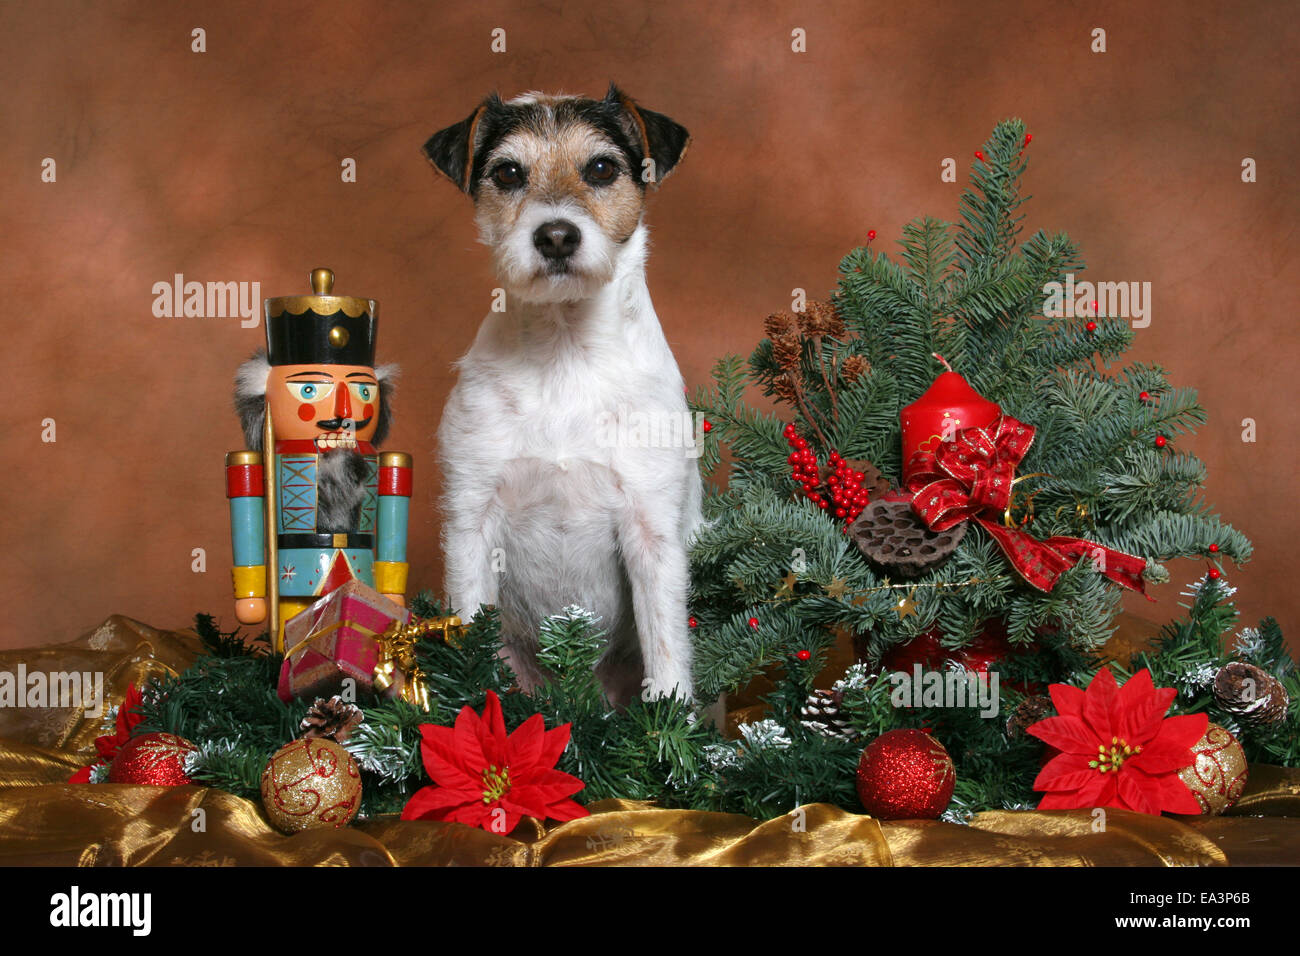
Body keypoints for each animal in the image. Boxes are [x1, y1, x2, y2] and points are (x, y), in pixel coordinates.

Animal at [426, 85, 702, 707]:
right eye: (507, 173)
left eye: (601, 168)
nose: (555, 236)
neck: (563, 352)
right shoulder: (471, 521)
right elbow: (469, 623)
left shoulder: (651, 529)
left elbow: (666, 646)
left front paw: (672, 720)